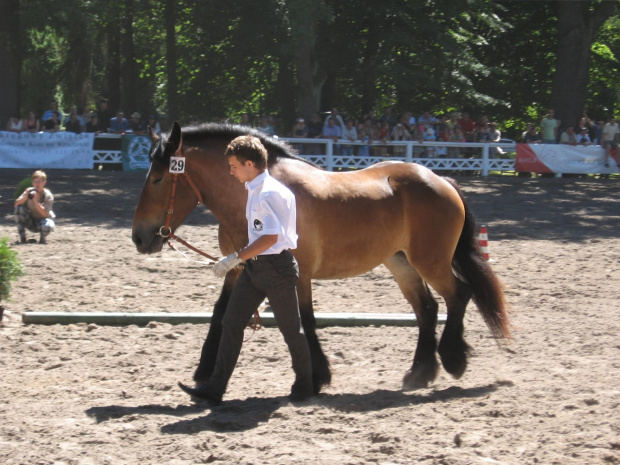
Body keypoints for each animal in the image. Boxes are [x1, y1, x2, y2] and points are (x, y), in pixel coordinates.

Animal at [130, 121, 508, 394]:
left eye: (158, 178)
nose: (139, 237)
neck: (253, 195)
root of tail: (440, 179)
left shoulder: (300, 273)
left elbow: (304, 321)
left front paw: (317, 377)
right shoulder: (238, 269)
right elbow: (221, 315)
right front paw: (204, 372)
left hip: (430, 260)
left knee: (458, 295)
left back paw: (454, 360)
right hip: (400, 261)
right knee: (427, 309)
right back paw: (420, 373)